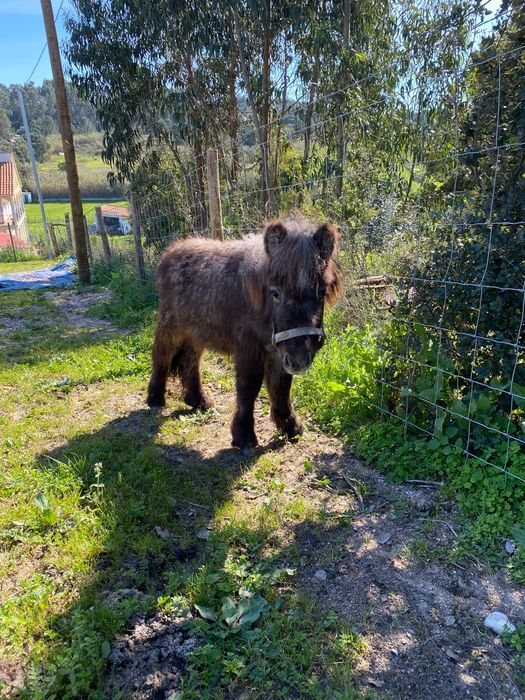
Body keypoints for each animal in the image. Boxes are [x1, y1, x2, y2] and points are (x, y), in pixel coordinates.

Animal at [147, 218, 342, 451]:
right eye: (275, 293)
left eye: (322, 292)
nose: (299, 361)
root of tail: (171, 251)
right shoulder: (249, 348)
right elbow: (249, 387)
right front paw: (245, 436)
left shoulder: (279, 351)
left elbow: (281, 387)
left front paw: (290, 427)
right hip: (171, 325)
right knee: (162, 354)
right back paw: (155, 399)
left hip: (196, 332)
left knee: (190, 362)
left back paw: (199, 401)